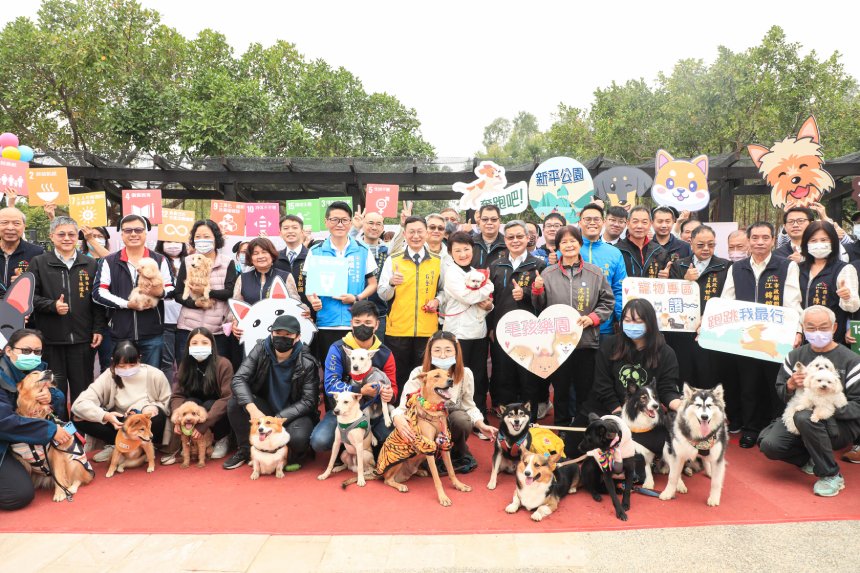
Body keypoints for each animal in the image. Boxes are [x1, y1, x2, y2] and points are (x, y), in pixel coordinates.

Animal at [370, 366, 470, 504]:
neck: (434, 411)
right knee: (387, 480)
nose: (451, 381)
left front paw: (459, 485)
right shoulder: (429, 447)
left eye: (448, 375)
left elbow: (451, 471)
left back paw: (420, 471)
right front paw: (443, 497)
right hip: (398, 462)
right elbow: (437, 478)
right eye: (437, 376)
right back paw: (400, 485)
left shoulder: (444, 444)